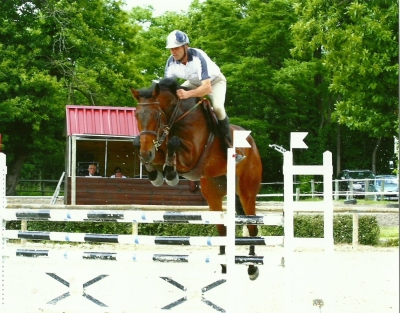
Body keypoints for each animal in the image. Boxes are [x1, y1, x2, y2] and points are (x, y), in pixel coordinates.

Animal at [130, 78, 262, 280]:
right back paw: (224, 265)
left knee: (252, 226)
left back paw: (252, 268)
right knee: (222, 228)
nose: (146, 154)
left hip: (246, 191)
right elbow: (146, 144)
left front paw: (170, 174)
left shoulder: (191, 155)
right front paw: (156, 175)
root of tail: (252, 144)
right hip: (214, 193)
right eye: (137, 115)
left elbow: (173, 142)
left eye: (157, 115)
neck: (176, 117)